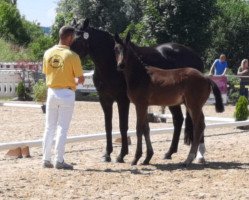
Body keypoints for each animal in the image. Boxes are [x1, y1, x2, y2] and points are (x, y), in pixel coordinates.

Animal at [70, 18, 204, 163]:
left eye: (78, 39)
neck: (110, 64)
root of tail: (195, 56)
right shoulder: (104, 99)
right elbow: (108, 126)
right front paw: (107, 154)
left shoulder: (123, 100)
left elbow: (123, 126)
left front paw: (122, 154)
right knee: (179, 120)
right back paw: (169, 153)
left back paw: (197, 155)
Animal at [114, 32, 224, 166]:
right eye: (116, 49)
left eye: (127, 49)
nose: (121, 65)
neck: (141, 75)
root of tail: (206, 78)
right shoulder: (144, 106)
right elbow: (146, 129)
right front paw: (147, 158)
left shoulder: (140, 105)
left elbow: (139, 129)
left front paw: (136, 158)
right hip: (192, 105)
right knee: (200, 124)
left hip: (194, 105)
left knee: (198, 126)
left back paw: (188, 159)